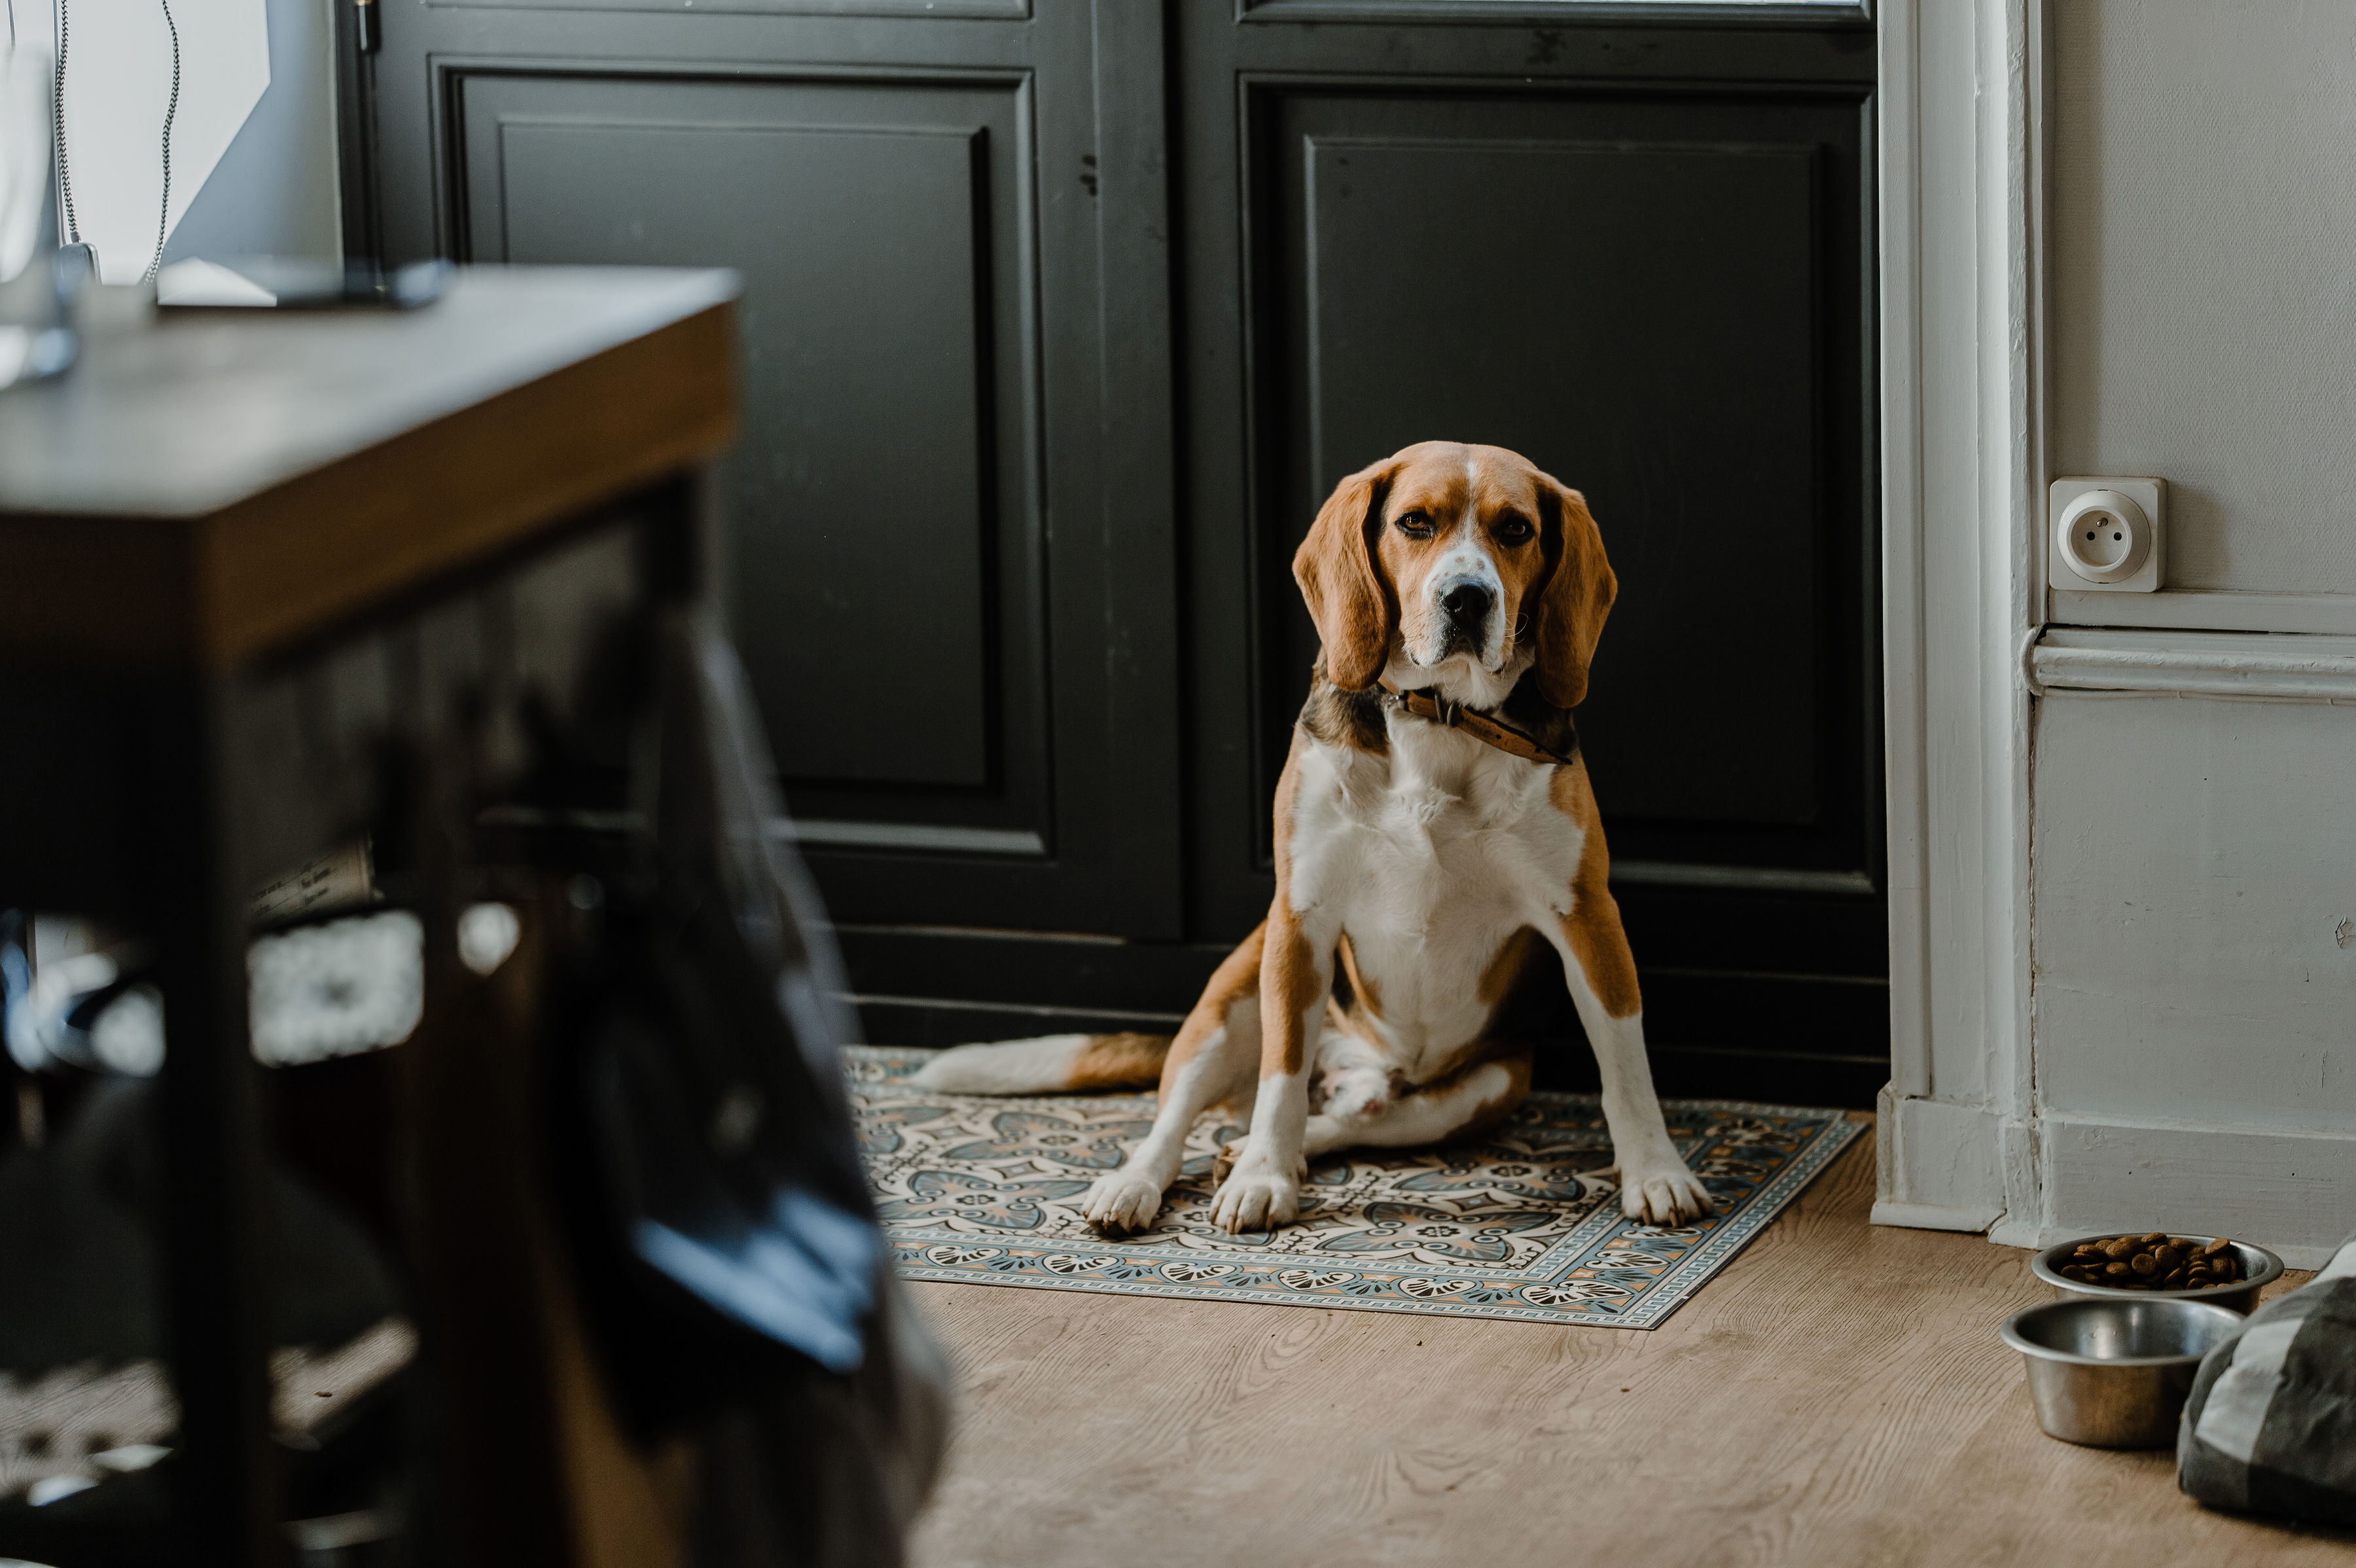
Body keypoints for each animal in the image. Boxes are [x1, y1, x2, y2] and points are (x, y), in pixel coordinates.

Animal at [909, 433, 1705, 1224]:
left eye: (1516, 529)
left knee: (1359, 1122)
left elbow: (1626, 1065)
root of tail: (1364, 1064)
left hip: (1484, 1086)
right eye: (1415, 522)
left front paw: (1656, 1171)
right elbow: (1281, 1076)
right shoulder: (1302, 917)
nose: (1468, 597)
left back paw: (1287, 1143)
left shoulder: (1588, 917)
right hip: (1229, 1002)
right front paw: (1262, 1177)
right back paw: (1147, 1179)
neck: (1441, 719)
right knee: (1181, 1116)